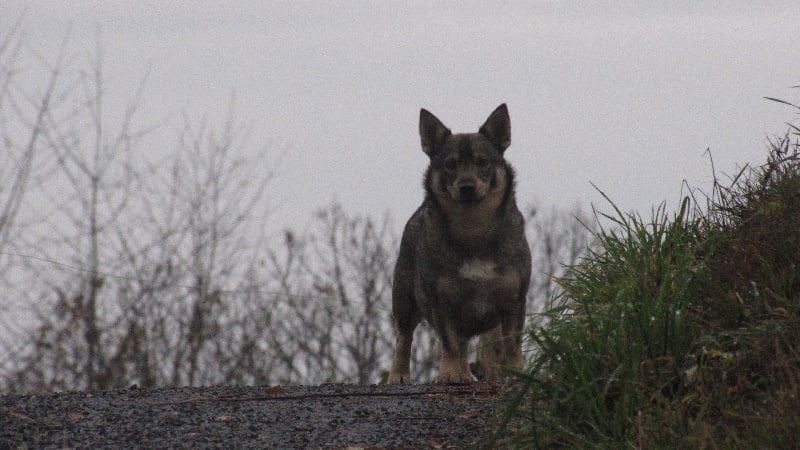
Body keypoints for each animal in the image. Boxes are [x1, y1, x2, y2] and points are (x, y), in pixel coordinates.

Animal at [388, 104, 532, 384]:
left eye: (482, 162)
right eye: (450, 164)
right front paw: (451, 374)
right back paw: (399, 375)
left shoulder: (513, 300)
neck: (473, 230)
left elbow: (512, 344)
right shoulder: (442, 301)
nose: (467, 186)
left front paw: (517, 374)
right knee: (404, 338)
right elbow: (451, 343)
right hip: (404, 300)